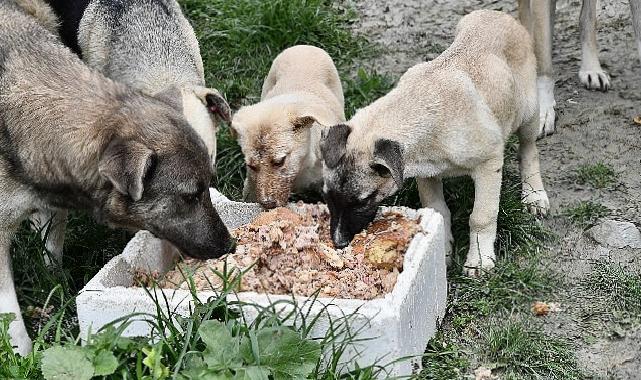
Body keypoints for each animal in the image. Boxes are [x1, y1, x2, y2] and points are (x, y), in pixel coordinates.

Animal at [322, 8, 548, 276]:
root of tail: (497, 14)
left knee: (529, 150)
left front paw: (479, 261)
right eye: (327, 197)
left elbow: (481, 216)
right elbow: (438, 209)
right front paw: (443, 249)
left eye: (363, 201)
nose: (338, 242)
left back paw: (534, 195)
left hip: (529, 112)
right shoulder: (426, 173)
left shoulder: (489, 163)